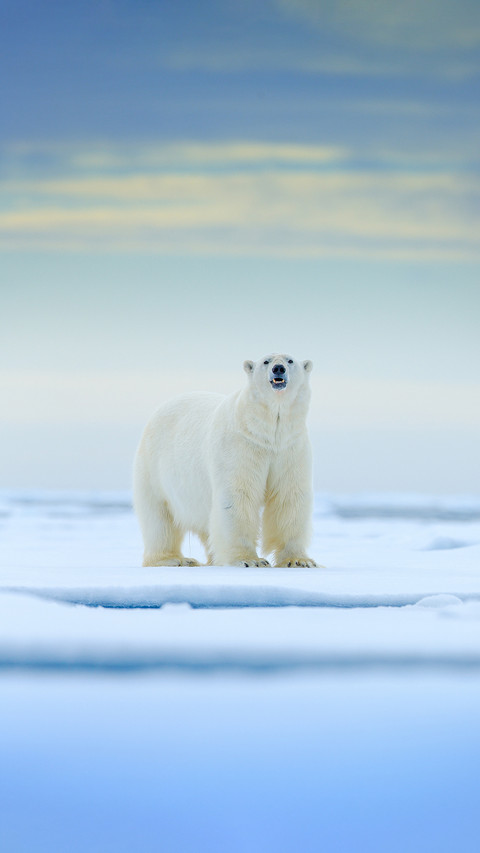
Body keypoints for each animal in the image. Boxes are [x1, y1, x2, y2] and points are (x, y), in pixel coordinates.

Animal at [133, 353, 317, 568]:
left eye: (290, 360)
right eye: (266, 361)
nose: (278, 369)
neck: (266, 431)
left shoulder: (290, 449)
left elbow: (289, 497)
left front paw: (299, 561)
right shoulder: (241, 445)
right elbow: (238, 496)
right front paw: (249, 560)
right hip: (153, 469)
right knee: (159, 519)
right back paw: (175, 559)